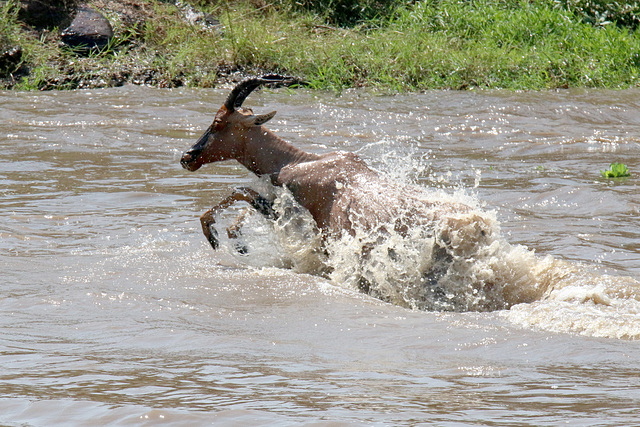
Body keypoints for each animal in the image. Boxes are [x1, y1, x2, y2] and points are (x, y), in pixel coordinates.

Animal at [180, 76, 490, 284]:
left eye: (218, 122)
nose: (187, 157)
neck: (303, 162)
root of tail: (480, 227)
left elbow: (242, 191)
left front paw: (224, 238)